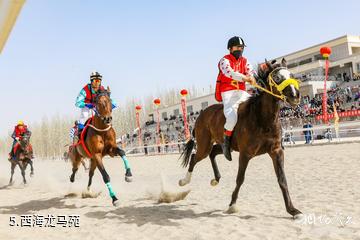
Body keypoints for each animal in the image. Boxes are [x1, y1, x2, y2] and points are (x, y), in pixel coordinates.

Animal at [179, 58, 302, 218]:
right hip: (204, 145)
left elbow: (282, 179)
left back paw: (216, 179)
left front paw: (292, 210)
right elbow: (240, 179)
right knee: (195, 157)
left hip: (225, 146)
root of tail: (201, 114)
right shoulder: (245, 154)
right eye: (276, 77)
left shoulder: (276, 151)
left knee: (213, 153)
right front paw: (232, 205)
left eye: (291, 74)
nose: (295, 95)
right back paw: (184, 181)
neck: (262, 119)